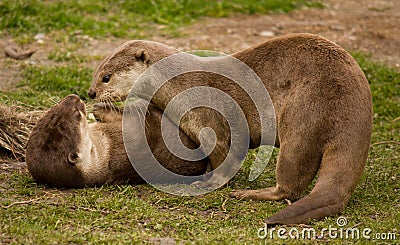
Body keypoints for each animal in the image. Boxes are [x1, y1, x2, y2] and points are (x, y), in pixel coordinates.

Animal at [87, 33, 372, 225]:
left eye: (106, 77)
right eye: (96, 72)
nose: (90, 92)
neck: (182, 84)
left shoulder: (211, 118)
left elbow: (226, 154)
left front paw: (207, 183)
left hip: (305, 117)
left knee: (290, 185)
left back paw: (248, 193)